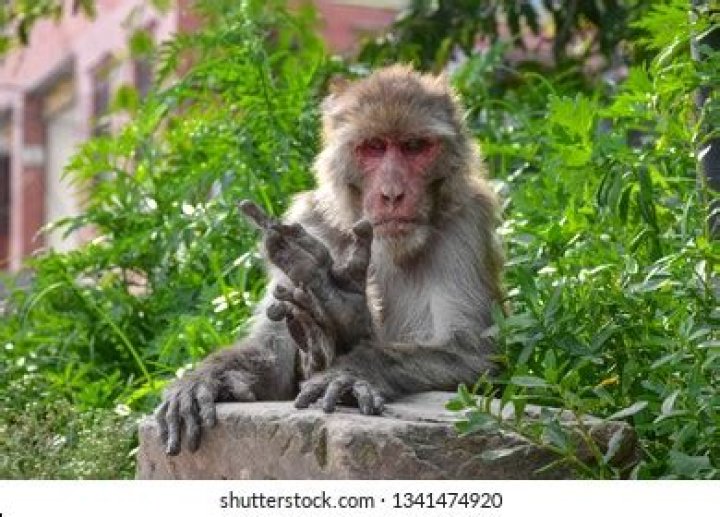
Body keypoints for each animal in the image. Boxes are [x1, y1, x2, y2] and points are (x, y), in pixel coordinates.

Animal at [155, 65, 504, 456]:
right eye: (374, 147)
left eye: (414, 147)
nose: (392, 194)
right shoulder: (307, 221)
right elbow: (272, 360)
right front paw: (206, 378)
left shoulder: (467, 221)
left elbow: (471, 353)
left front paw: (351, 363)